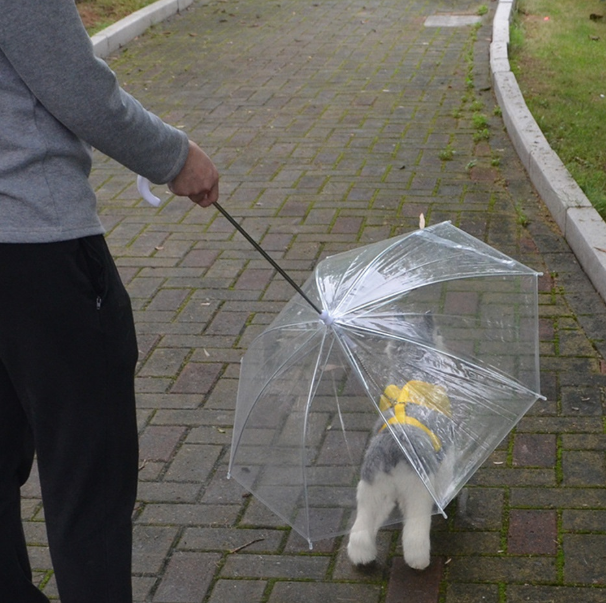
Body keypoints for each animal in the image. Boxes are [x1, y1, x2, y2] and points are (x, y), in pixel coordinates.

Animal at [346, 316, 456, 572]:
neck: (415, 361)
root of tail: (391, 449)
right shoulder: (446, 459)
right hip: (417, 495)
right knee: (415, 537)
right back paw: (419, 564)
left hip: (371, 494)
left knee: (360, 534)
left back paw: (362, 559)